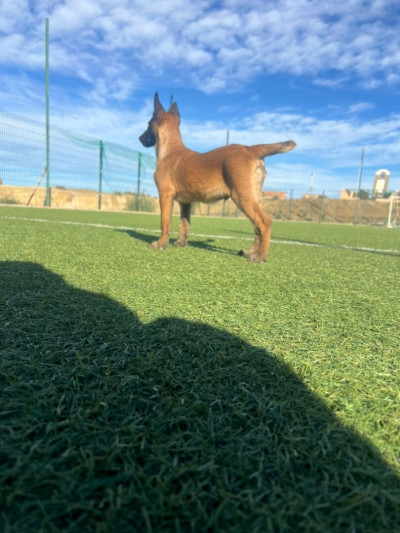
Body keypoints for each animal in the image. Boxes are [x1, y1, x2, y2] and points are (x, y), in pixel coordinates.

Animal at [139, 95, 296, 264]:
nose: (140, 138)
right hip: (254, 197)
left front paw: (160, 244)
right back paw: (250, 252)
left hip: (242, 197)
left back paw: (260, 257)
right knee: (256, 227)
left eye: (148, 124)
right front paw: (181, 243)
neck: (170, 151)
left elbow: (165, 222)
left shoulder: (165, 195)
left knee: (264, 223)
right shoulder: (185, 202)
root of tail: (250, 149)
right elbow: (184, 224)